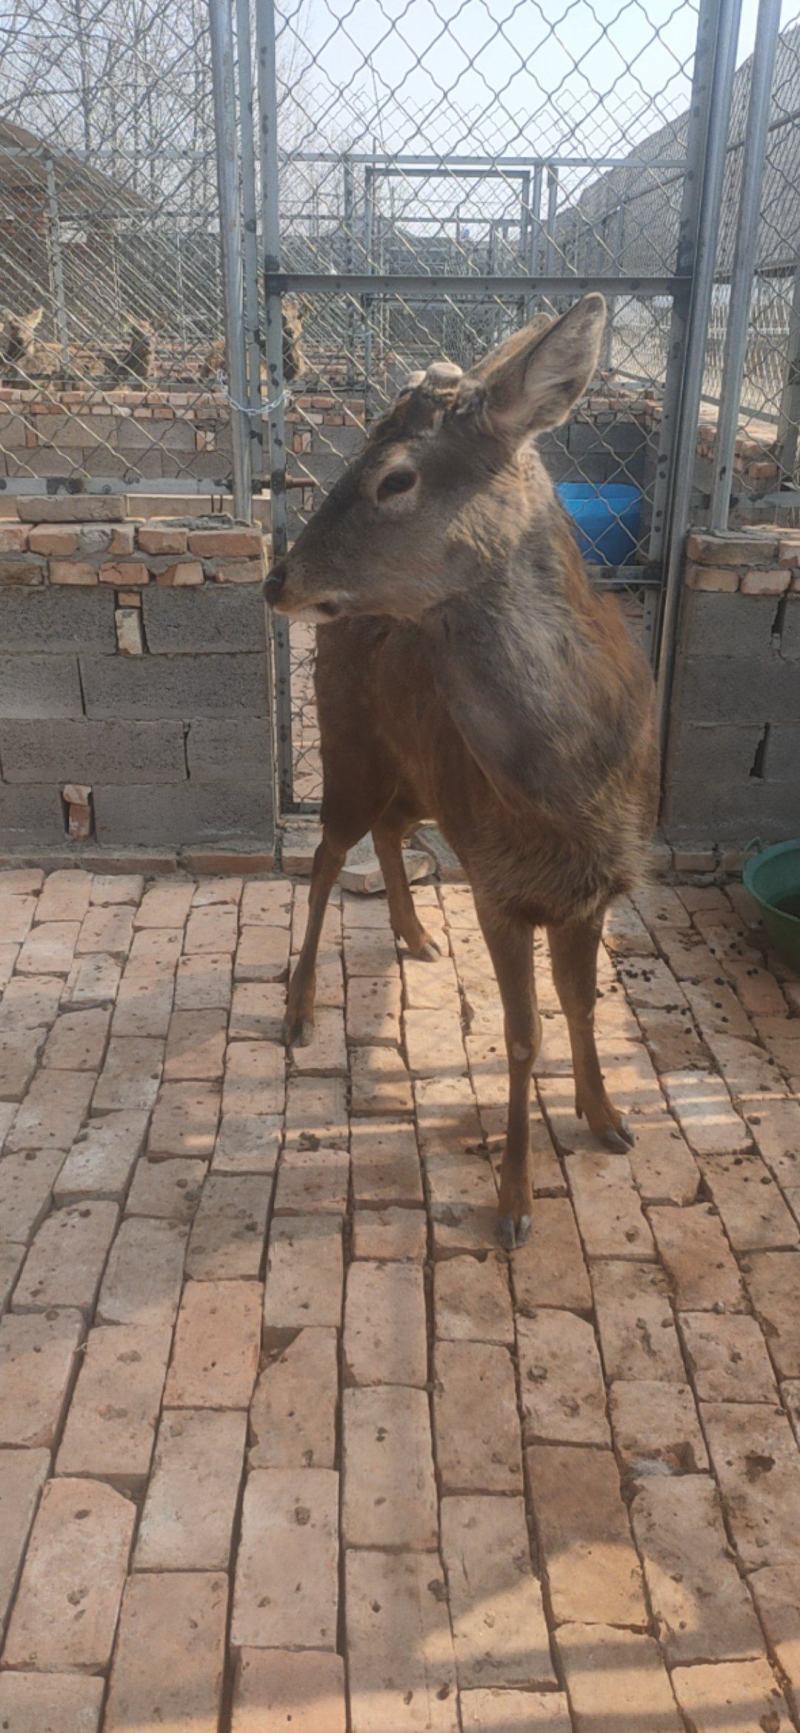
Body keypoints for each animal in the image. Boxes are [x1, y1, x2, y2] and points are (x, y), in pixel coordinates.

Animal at [265, 294, 659, 1249]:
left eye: (395, 477)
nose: (275, 579)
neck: (565, 792)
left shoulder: (593, 884)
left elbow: (584, 1005)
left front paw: (607, 1118)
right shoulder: (498, 884)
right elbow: (521, 1036)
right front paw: (514, 1202)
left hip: (419, 780)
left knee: (388, 831)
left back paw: (413, 933)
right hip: (348, 748)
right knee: (326, 858)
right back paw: (297, 1007)